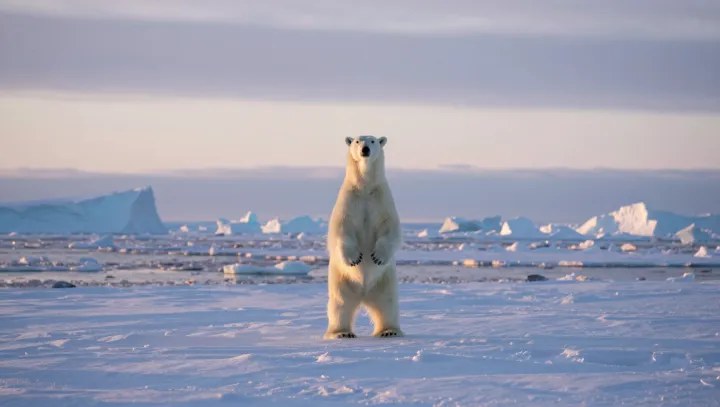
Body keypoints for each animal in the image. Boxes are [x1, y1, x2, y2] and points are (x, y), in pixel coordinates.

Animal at [324, 135, 404, 340]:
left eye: (373, 141)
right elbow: (341, 229)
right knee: (340, 305)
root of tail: (364, 294)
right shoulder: (348, 200)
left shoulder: (382, 200)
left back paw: (389, 331)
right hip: (341, 281)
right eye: (357, 141)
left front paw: (377, 257)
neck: (365, 188)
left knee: (388, 304)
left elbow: (390, 228)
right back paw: (341, 333)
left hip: (384, 281)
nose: (365, 149)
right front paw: (354, 258)